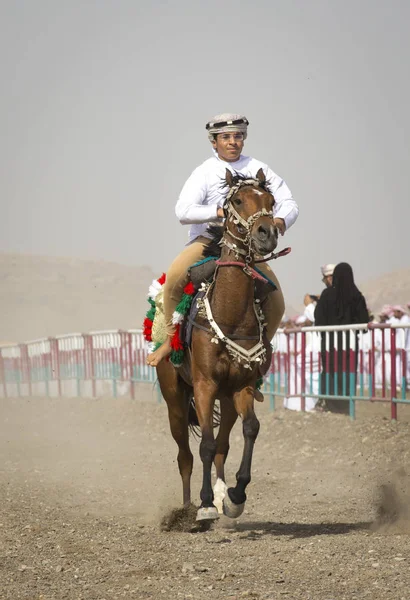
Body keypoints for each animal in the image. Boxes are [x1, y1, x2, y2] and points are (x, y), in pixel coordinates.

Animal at [155, 166, 278, 524]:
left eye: (271, 201)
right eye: (237, 200)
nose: (267, 233)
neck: (231, 316)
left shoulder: (242, 386)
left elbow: (250, 429)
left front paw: (235, 495)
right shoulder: (204, 385)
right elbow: (205, 446)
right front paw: (206, 504)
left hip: (225, 397)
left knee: (223, 444)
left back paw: (224, 495)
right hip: (175, 399)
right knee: (185, 454)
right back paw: (186, 508)